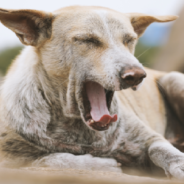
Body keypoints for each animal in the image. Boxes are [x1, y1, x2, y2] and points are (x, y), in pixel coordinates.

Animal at [0, 5, 184, 180]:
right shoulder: (9, 159)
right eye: (88, 40)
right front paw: (100, 164)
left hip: (175, 80)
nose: (136, 75)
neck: (75, 125)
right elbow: (50, 159)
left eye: (129, 40)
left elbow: (164, 150)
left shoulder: (150, 139)